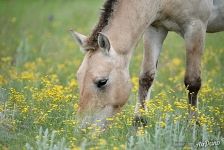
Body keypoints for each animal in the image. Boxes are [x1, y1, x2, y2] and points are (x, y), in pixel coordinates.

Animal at [71, 0, 224, 127]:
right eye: (78, 78)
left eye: (102, 82)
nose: (83, 129)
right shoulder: (155, 29)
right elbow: (146, 78)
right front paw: (139, 123)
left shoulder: (195, 27)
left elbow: (192, 82)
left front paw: (193, 125)